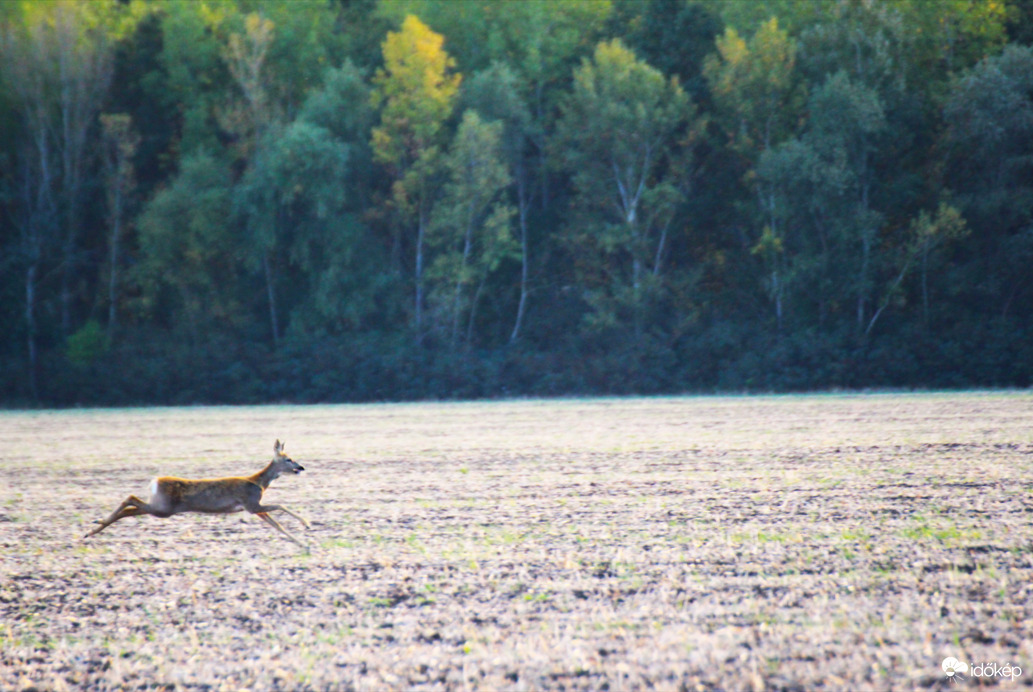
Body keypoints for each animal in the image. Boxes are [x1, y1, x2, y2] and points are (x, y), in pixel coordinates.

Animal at [83, 442, 309, 549]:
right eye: (288, 459)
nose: (301, 467)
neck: (258, 483)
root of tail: (154, 481)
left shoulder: (254, 508)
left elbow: (277, 525)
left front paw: (302, 543)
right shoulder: (251, 504)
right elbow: (281, 506)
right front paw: (306, 524)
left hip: (160, 507)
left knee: (130, 508)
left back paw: (92, 530)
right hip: (163, 508)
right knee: (130, 498)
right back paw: (95, 524)